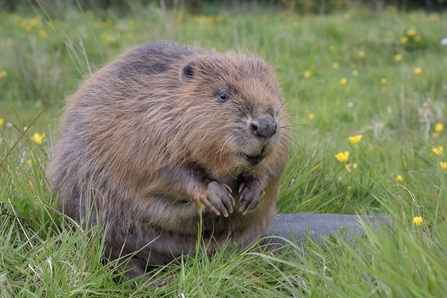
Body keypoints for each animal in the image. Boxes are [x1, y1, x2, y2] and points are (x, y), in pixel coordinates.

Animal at [47, 40, 288, 280]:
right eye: (222, 95)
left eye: (272, 91)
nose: (265, 125)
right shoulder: (147, 127)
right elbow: (165, 172)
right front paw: (217, 196)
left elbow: (275, 164)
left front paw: (250, 194)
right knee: (114, 256)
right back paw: (149, 281)